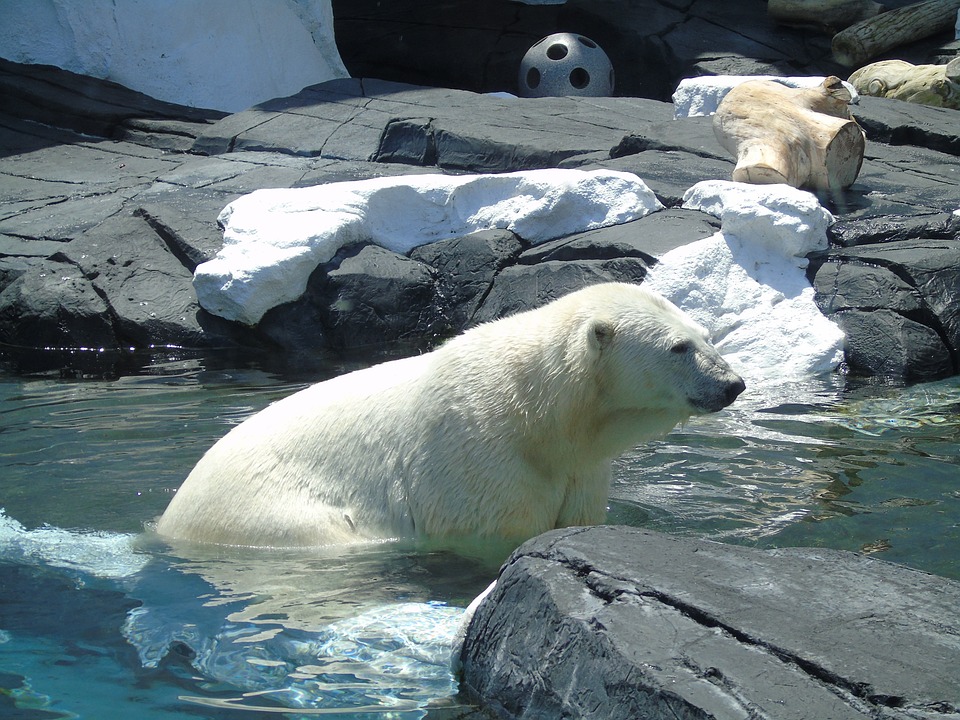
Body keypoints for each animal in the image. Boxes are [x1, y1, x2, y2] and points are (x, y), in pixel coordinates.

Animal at [156, 282, 744, 544]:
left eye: (707, 335)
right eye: (678, 348)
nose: (732, 384)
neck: (540, 414)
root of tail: (165, 520)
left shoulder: (581, 465)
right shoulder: (477, 457)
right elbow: (499, 528)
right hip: (273, 514)